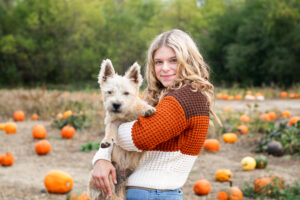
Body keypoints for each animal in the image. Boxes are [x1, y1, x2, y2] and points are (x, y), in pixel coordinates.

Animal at [88, 59, 156, 200]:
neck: (125, 115)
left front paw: (146, 109)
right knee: (110, 193)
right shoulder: (113, 121)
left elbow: (139, 104)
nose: (116, 104)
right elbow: (110, 130)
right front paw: (107, 141)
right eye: (109, 92)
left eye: (126, 93)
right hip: (108, 176)